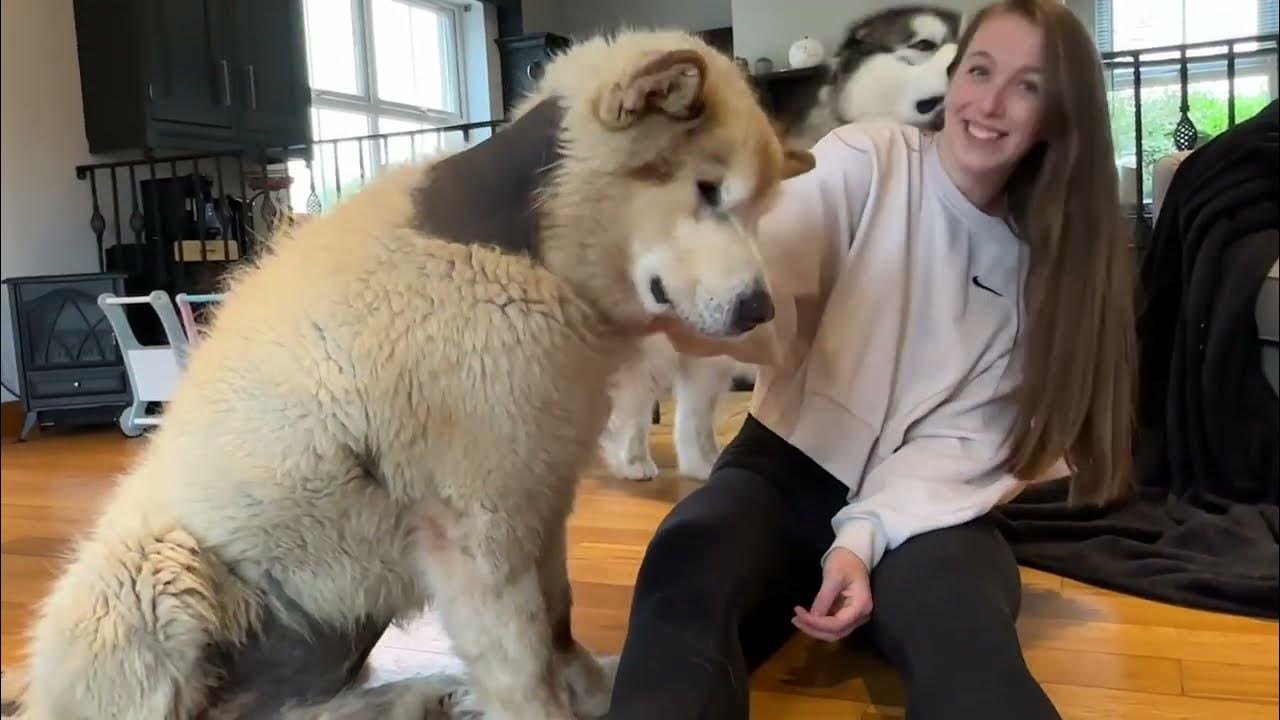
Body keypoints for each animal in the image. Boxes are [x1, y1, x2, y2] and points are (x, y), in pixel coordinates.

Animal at [15, 26, 814, 717]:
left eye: (757, 206)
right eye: (707, 190)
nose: (761, 308)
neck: (527, 253)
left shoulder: (537, 492)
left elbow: (556, 622)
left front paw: (591, 687)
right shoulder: (478, 521)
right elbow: (522, 661)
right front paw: (549, 705)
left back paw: (426, 696)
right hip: (162, 575)